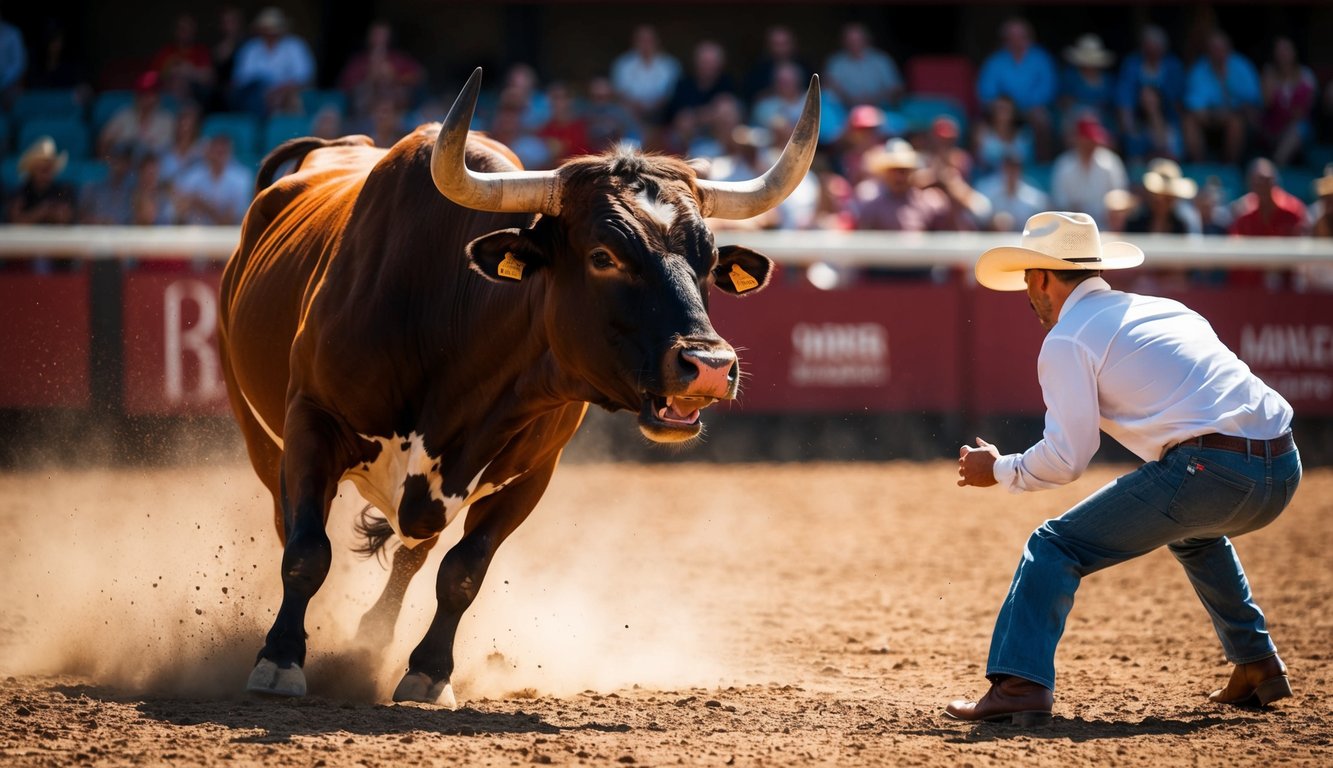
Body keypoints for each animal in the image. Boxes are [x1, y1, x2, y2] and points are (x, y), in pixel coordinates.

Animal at [217, 69, 815, 704]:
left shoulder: (530, 473)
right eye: (603, 255)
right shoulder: (310, 424)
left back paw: (369, 642)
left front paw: (428, 671)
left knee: (413, 554)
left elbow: (462, 572)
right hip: (260, 437)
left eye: (708, 260)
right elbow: (307, 551)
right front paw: (280, 658)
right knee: (291, 525)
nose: (709, 364)